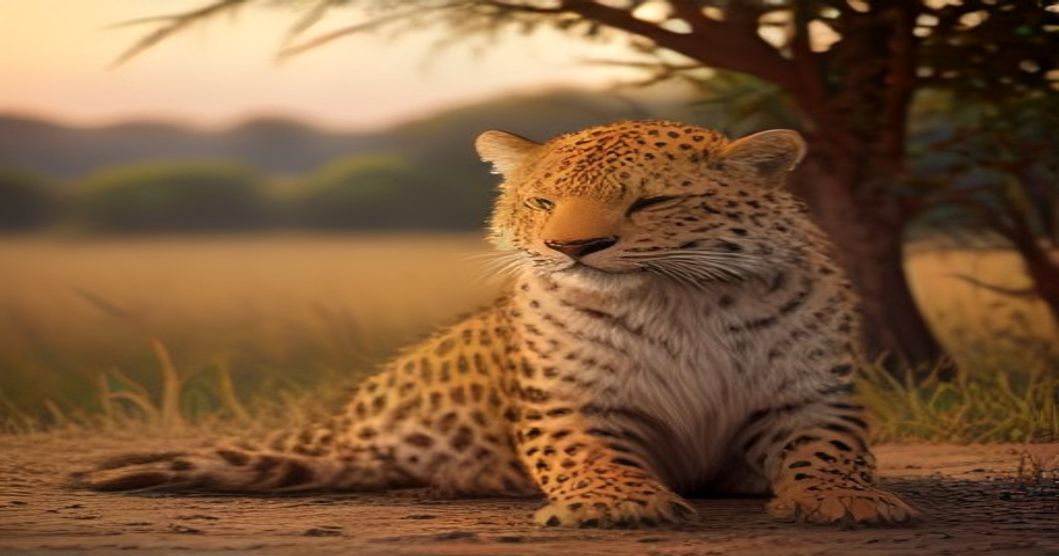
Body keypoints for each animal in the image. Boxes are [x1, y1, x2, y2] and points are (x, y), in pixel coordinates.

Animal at [75, 120, 917, 528]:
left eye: (649, 202)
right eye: (543, 202)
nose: (572, 247)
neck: (677, 300)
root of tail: (357, 411)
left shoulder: (811, 398)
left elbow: (830, 453)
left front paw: (844, 500)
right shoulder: (571, 408)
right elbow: (589, 456)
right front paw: (613, 502)